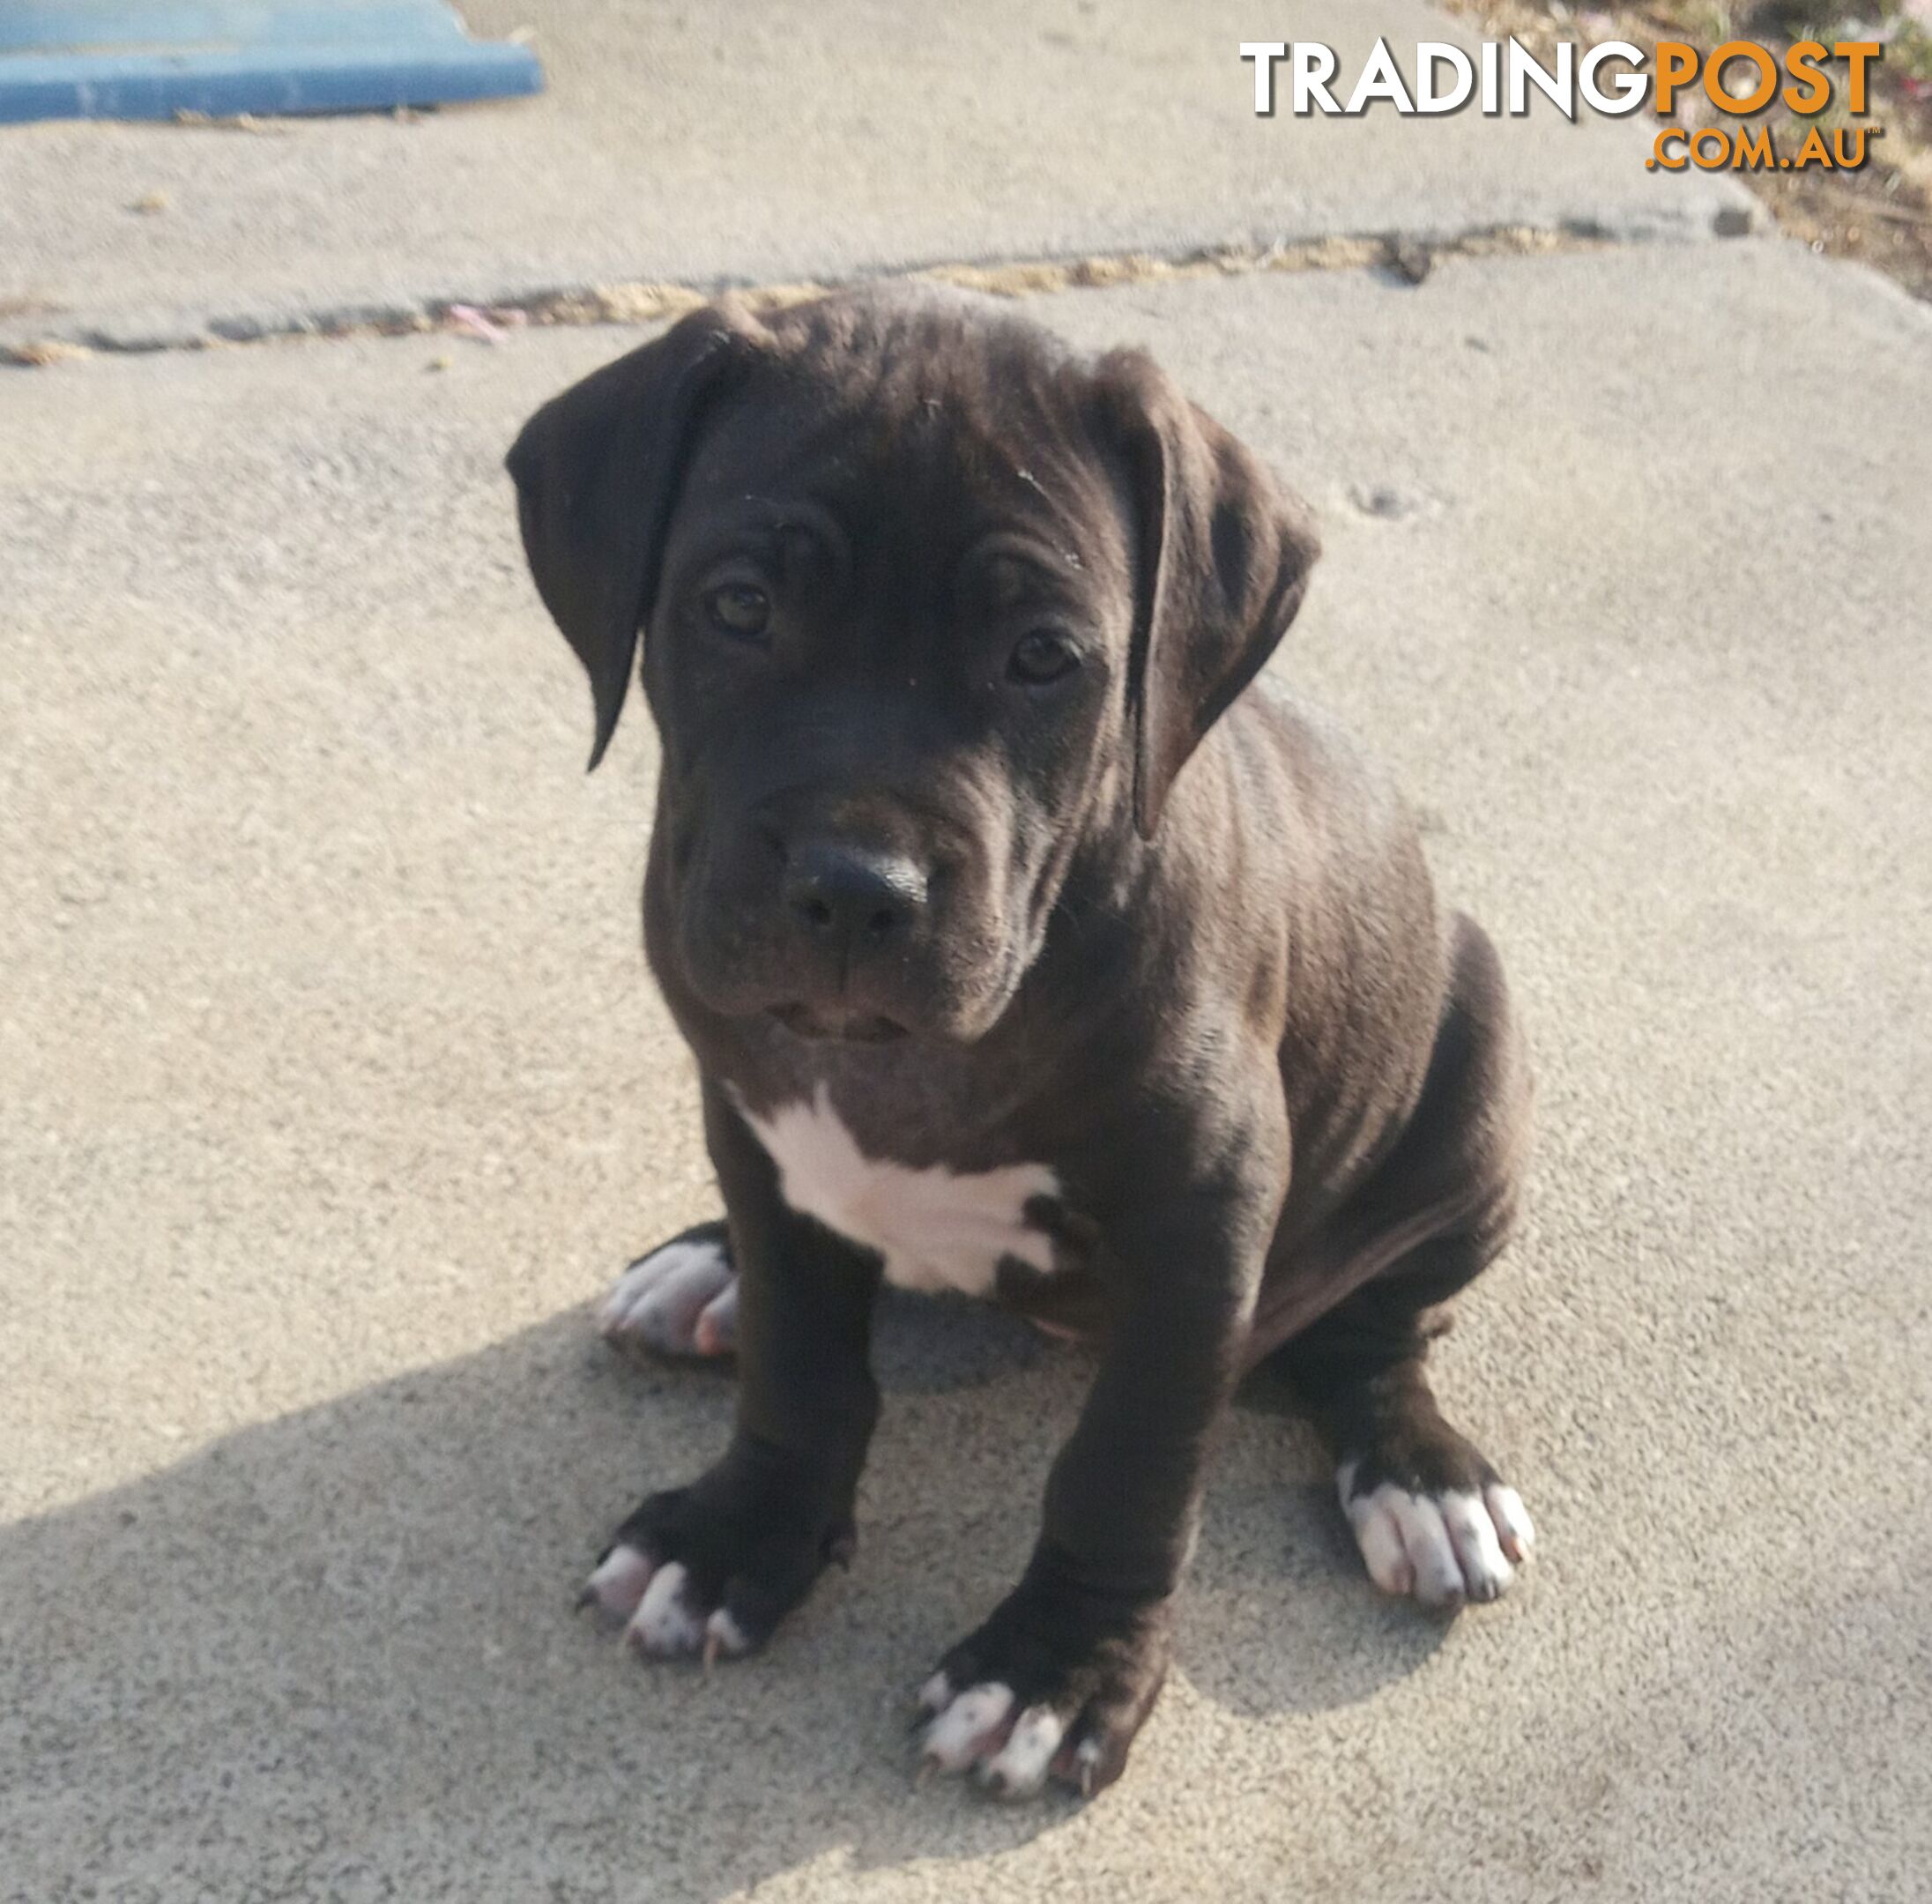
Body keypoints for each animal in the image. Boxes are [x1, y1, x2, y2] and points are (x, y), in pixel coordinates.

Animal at [514, 282, 1537, 1801]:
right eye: (740, 607)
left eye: (1045, 658)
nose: (854, 888)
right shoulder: (750, 1117)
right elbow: (801, 1361)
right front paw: (739, 1536)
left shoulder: (1205, 1214)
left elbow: (1127, 1460)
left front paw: (1054, 1671)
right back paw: (705, 1271)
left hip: (1477, 1069)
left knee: (1378, 1331)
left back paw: (1421, 1476)